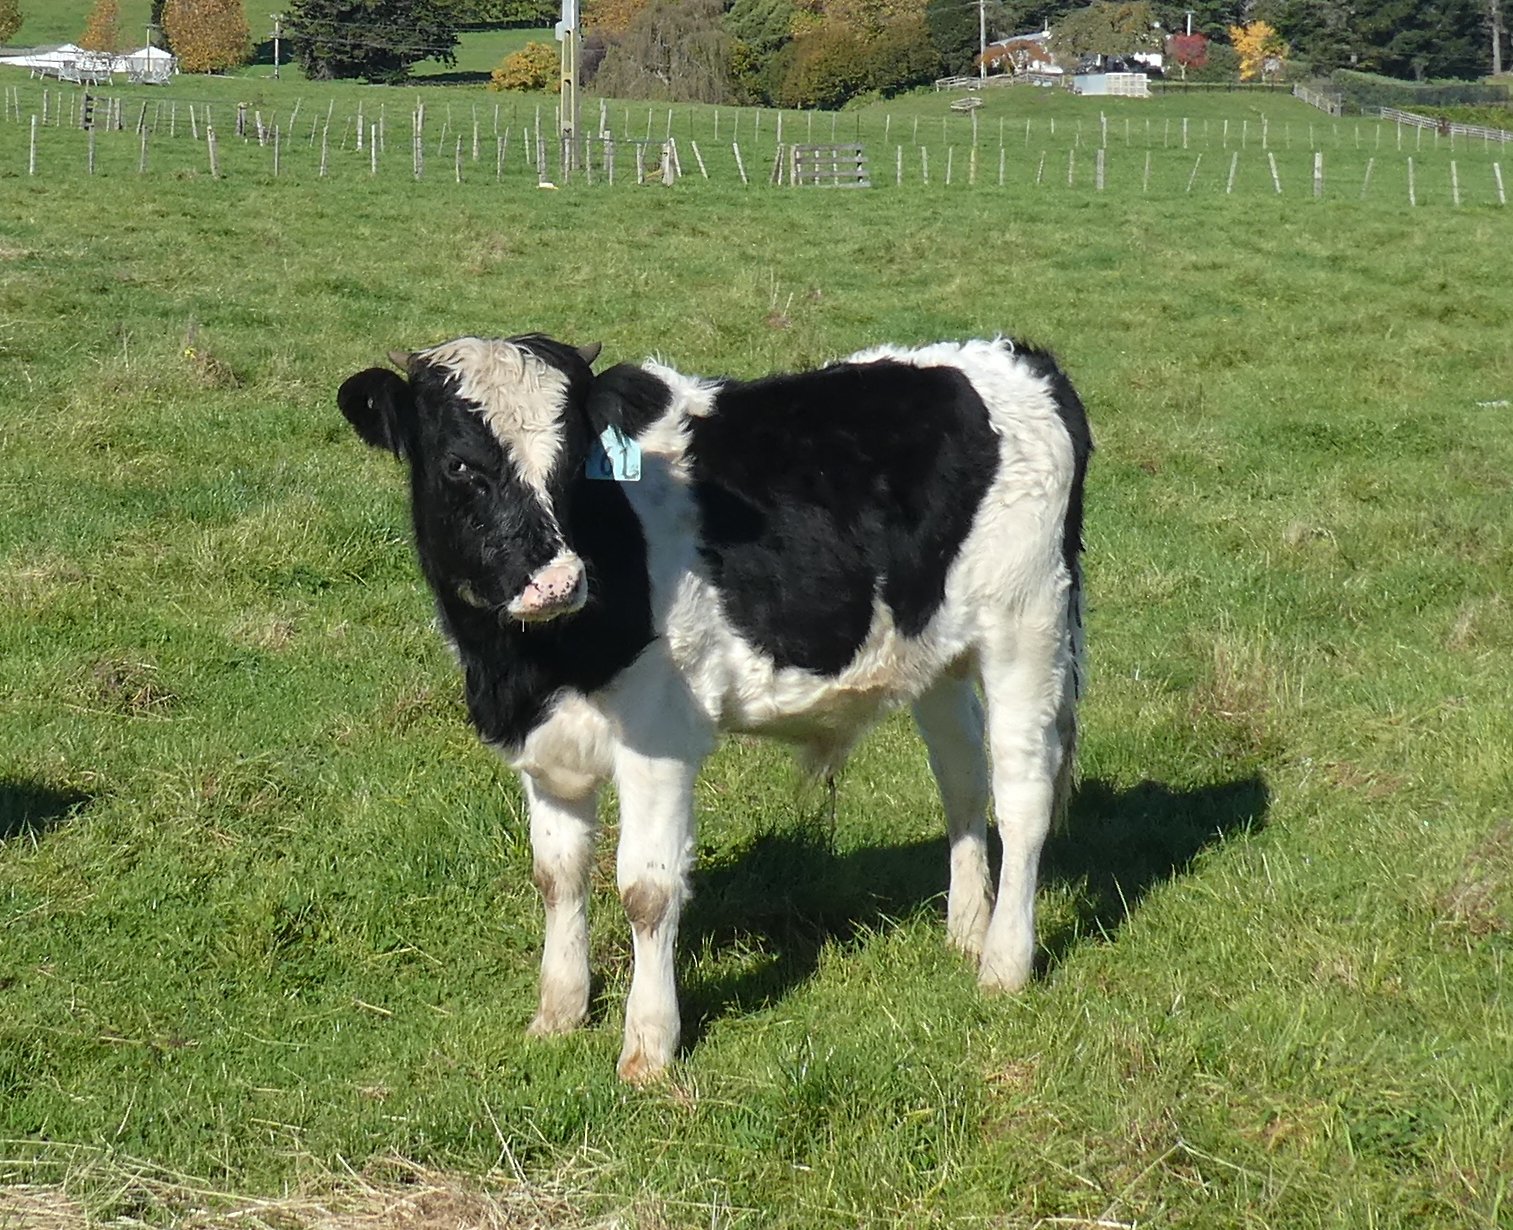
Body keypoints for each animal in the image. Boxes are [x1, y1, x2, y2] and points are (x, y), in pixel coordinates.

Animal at [337, 334, 1091, 1083]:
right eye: (460, 464)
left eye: (576, 462)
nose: (557, 581)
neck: (525, 667)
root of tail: (1012, 354)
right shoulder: (543, 745)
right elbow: (556, 876)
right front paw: (558, 1014)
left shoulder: (659, 737)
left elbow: (646, 891)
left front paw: (648, 1048)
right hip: (935, 651)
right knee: (962, 779)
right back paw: (967, 930)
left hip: (1027, 626)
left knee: (1022, 797)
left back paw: (1004, 963)